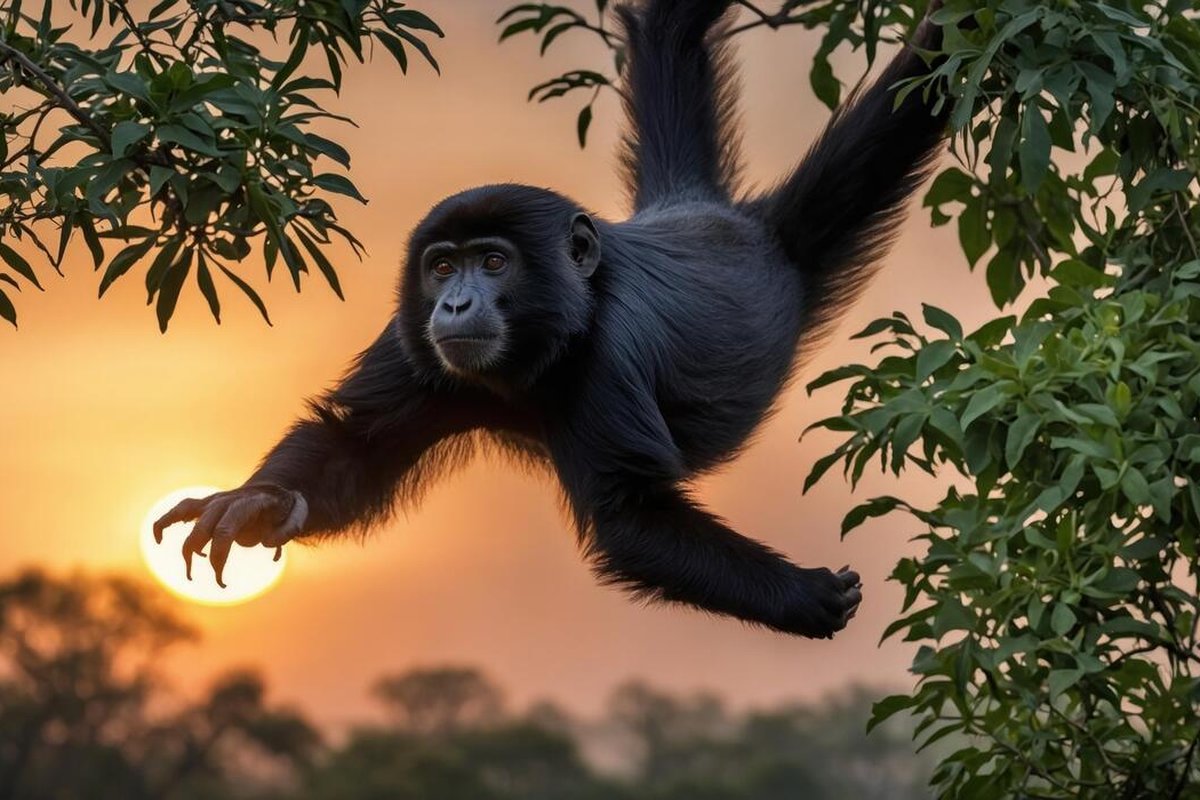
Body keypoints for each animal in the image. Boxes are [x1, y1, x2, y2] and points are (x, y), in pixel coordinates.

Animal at [155, 0, 950, 639]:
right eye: (441, 267)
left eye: (493, 262)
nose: (455, 303)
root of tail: (702, 215)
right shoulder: (412, 338)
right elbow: (357, 441)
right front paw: (256, 503)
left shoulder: (611, 345)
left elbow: (630, 511)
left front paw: (804, 597)